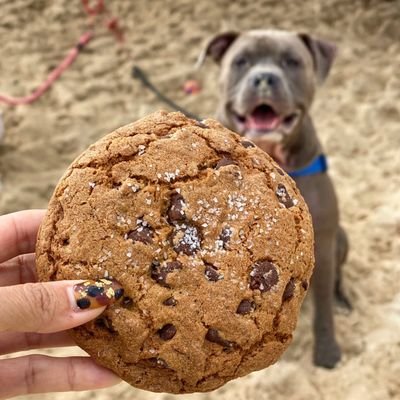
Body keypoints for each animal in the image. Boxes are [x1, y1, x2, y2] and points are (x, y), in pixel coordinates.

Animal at [200, 30, 350, 368]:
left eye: (292, 62)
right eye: (241, 61)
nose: (264, 78)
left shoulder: (324, 242)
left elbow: (323, 306)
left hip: (342, 240)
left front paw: (327, 352)